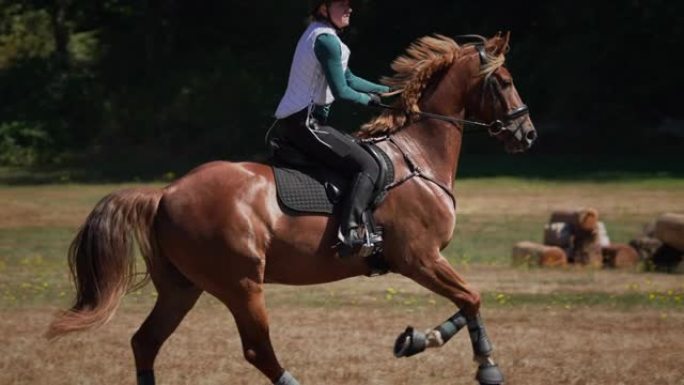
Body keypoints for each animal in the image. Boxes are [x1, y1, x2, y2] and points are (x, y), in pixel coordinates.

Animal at [48, 33, 536, 384]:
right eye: (505, 81)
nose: (527, 134)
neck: (419, 156)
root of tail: (165, 193)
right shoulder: (419, 258)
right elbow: (471, 298)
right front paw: (487, 367)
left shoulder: (424, 260)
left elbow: (467, 302)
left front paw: (415, 339)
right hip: (241, 284)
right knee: (257, 350)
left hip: (182, 287)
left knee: (145, 342)